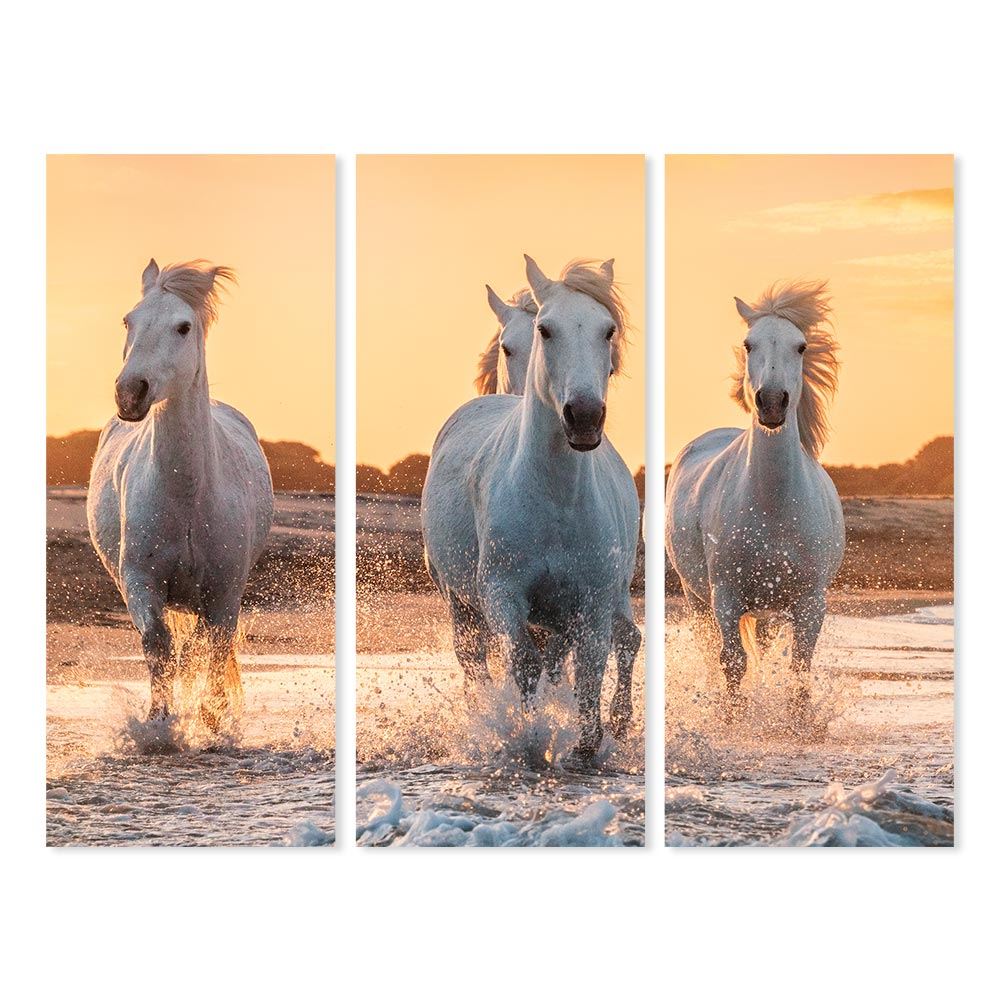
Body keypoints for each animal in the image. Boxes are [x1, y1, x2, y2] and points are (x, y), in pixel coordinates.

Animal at [87, 259, 274, 730]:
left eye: (184, 327)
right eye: (128, 320)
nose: (129, 393)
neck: (188, 496)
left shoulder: (225, 590)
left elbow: (206, 646)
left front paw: (210, 717)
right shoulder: (140, 581)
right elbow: (159, 645)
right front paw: (159, 723)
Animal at [421, 256, 641, 759]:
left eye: (608, 329)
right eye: (546, 329)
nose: (584, 416)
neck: (555, 500)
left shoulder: (591, 602)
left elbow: (589, 670)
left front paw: (588, 743)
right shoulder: (503, 594)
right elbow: (523, 663)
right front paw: (527, 734)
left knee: (618, 644)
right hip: (460, 601)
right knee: (475, 660)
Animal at [665, 280, 845, 718]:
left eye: (801, 346)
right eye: (749, 344)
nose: (772, 402)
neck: (773, 507)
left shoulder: (810, 603)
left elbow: (799, 668)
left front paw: (797, 721)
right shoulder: (726, 598)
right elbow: (732, 663)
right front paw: (734, 718)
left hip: (767, 611)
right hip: (697, 598)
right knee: (711, 652)